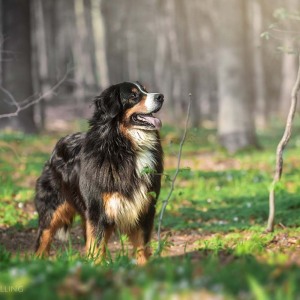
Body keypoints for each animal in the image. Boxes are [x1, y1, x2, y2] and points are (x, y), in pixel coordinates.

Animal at [34, 81, 164, 264]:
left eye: (145, 90)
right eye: (133, 96)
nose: (161, 96)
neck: (123, 147)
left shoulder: (144, 208)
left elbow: (142, 248)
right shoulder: (98, 210)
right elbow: (96, 247)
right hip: (53, 207)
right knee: (43, 239)